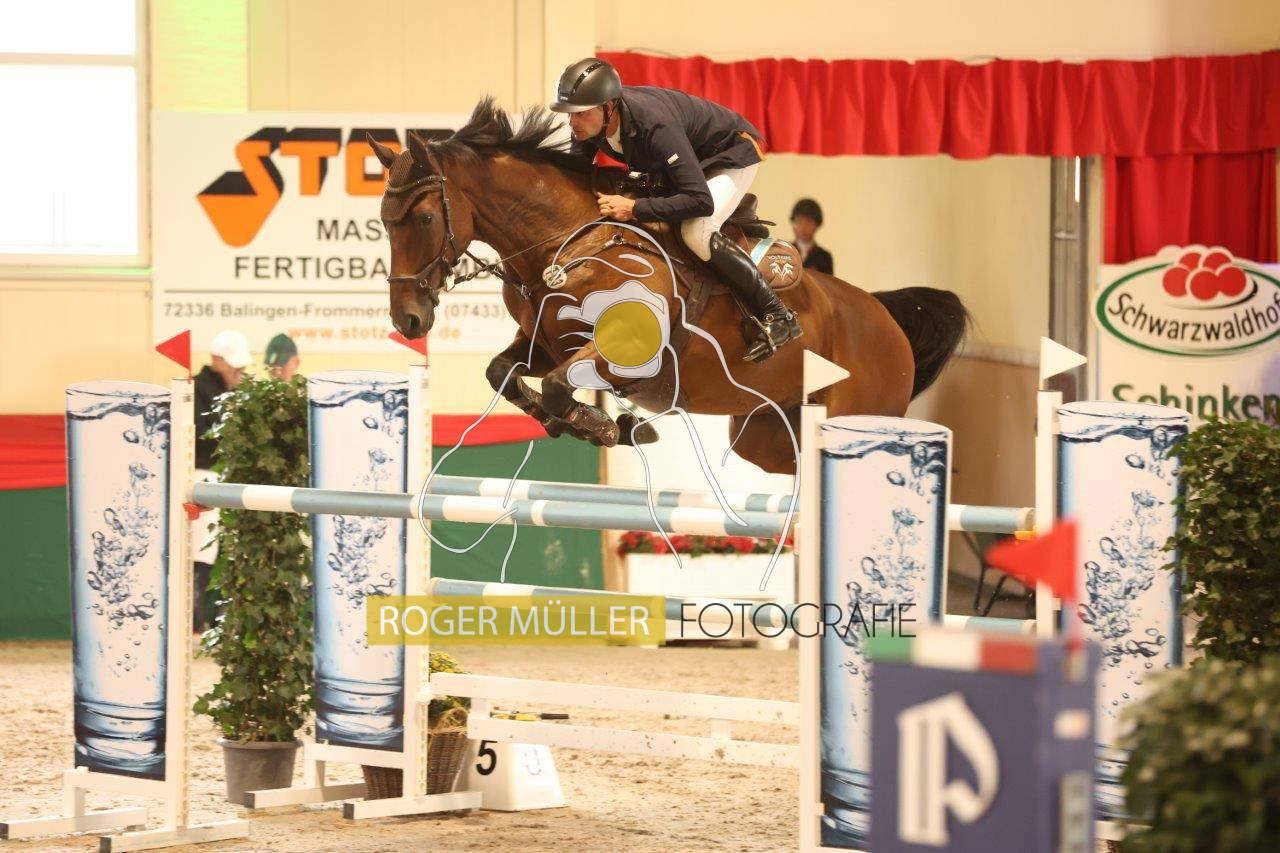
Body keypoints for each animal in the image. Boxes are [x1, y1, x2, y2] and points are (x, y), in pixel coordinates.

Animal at [371, 98, 969, 475]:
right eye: (382, 221)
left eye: (424, 218)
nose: (407, 320)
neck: (570, 240)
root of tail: (889, 319)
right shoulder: (545, 342)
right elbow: (503, 373)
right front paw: (592, 425)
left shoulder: (628, 348)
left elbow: (563, 385)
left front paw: (606, 425)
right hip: (765, 434)